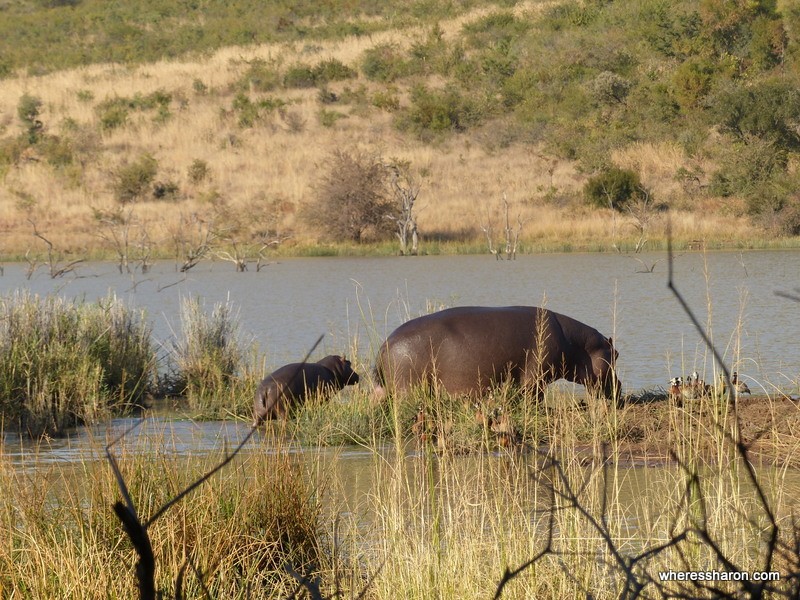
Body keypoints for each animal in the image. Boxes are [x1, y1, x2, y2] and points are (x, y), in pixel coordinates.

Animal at [374, 310, 620, 404]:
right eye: (616, 355)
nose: (620, 388)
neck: (579, 345)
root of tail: (383, 345)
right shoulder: (535, 378)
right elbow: (535, 399)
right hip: (408, 388)